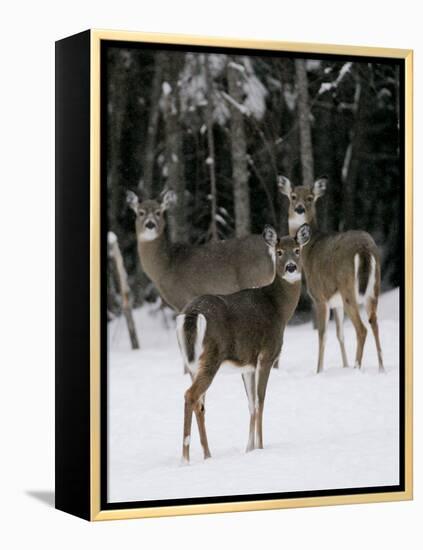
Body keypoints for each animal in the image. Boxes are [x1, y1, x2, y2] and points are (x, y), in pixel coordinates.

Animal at [176, 225, 312, 466]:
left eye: (297, 250)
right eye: (278, 252)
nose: (291, 267)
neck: (279, 308)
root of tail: (192, 314)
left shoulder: (247, 365)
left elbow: (251, 403)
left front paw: (249, 449)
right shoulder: (267, 355)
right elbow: (260, 401)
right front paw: (261, 447)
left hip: (191, 361)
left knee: (200, 404)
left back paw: (207, 454)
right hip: (212, 356)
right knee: (191, 395)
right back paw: (185, 458)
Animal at [278, 177, 384, 376]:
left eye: (310, 198)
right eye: (293, 196)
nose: (299, 209)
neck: (309, 249)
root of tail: (364, 248)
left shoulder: (319, 296)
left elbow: (323, 334)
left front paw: (319, 370)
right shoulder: (336, 302)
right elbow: (339, 334)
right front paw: (344, 365)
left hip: (348, 288)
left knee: (362, 329)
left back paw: (357, 367)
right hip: (373, 288)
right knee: (374, 322)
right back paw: (381, 368)